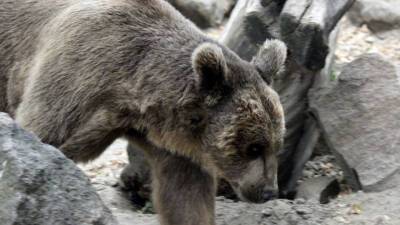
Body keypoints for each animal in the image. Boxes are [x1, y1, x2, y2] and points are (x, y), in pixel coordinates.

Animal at [0, 0, 288, 224]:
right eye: (253, 147)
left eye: (277, 144)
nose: (268, 191)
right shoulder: (74, 81)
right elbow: (43, 134)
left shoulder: (175, 146)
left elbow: (186, 198)